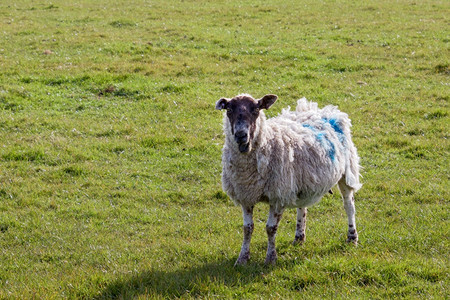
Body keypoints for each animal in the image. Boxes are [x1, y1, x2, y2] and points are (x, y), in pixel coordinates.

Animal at [215, 94, 362, 264]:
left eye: (256, 110)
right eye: (229, 110)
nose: (240, 135)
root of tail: (320, 109)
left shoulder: (278, 196)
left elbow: (270, 229)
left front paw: (270, 259)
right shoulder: (245, 195)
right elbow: (247, 228)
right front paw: (242, 259)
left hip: (347, 171)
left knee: (349, 205)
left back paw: (352, 237)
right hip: (303, 181)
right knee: (302, 207)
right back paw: (299, 237)